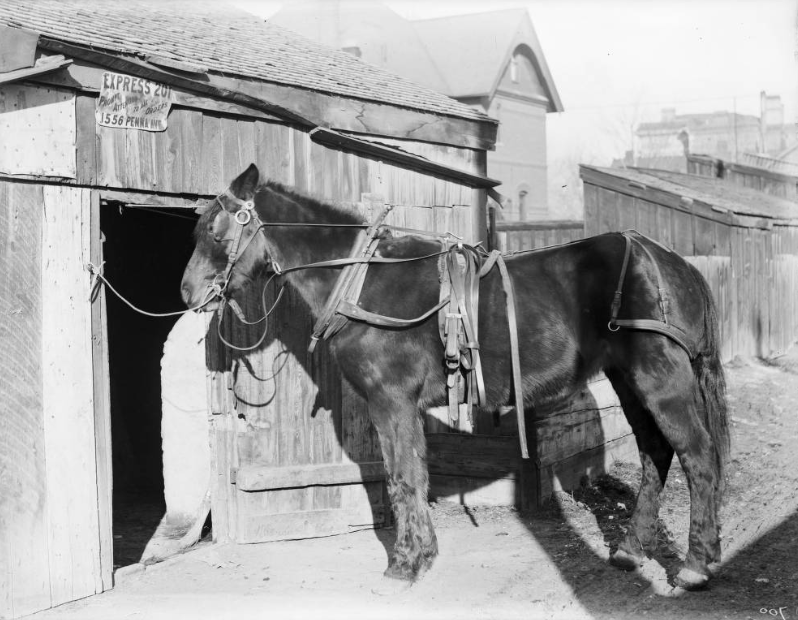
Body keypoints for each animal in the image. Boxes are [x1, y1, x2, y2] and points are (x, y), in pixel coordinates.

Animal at [181, 165, 732, 592]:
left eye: (215, 230)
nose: (187, 291)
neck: (361, 278)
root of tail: (669, 262)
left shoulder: (391, 401)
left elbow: (403, 477)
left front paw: (405, 565)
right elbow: (414, 475)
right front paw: (421, 554)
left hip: (660, 378)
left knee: (698, 456)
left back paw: (696, 566)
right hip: (627, 378)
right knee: (656, 454)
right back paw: (632, 550)